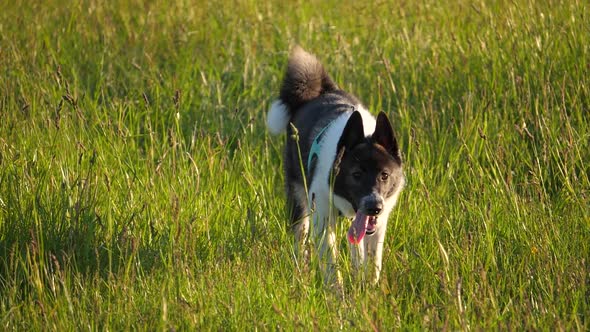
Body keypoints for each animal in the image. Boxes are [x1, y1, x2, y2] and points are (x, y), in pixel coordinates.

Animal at [268, 46, 408, 286]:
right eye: (356, 174)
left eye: (385, 175)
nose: (374, 206)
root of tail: (319, 93)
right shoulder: (323, 222)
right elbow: (333, 269)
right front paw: (338, 295)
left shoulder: (377, 226)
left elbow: (372, 263)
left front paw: (369, 290)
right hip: (298, 197)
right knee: (300, 236)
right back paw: (301, 273)